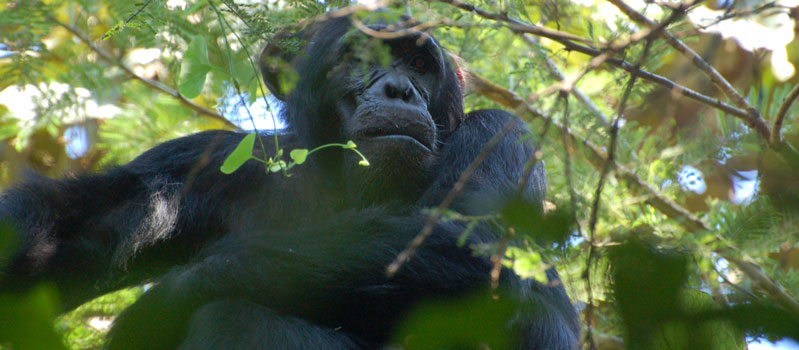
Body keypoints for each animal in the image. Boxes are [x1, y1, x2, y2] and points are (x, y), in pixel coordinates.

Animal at [0, 12, 580, 348]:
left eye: (419, 63)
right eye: (361, 57)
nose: (398, 89)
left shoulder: (500, 135)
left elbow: (469, 236)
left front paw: (153, 310)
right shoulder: (205, 165)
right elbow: (80, 224)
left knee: (236, 319)